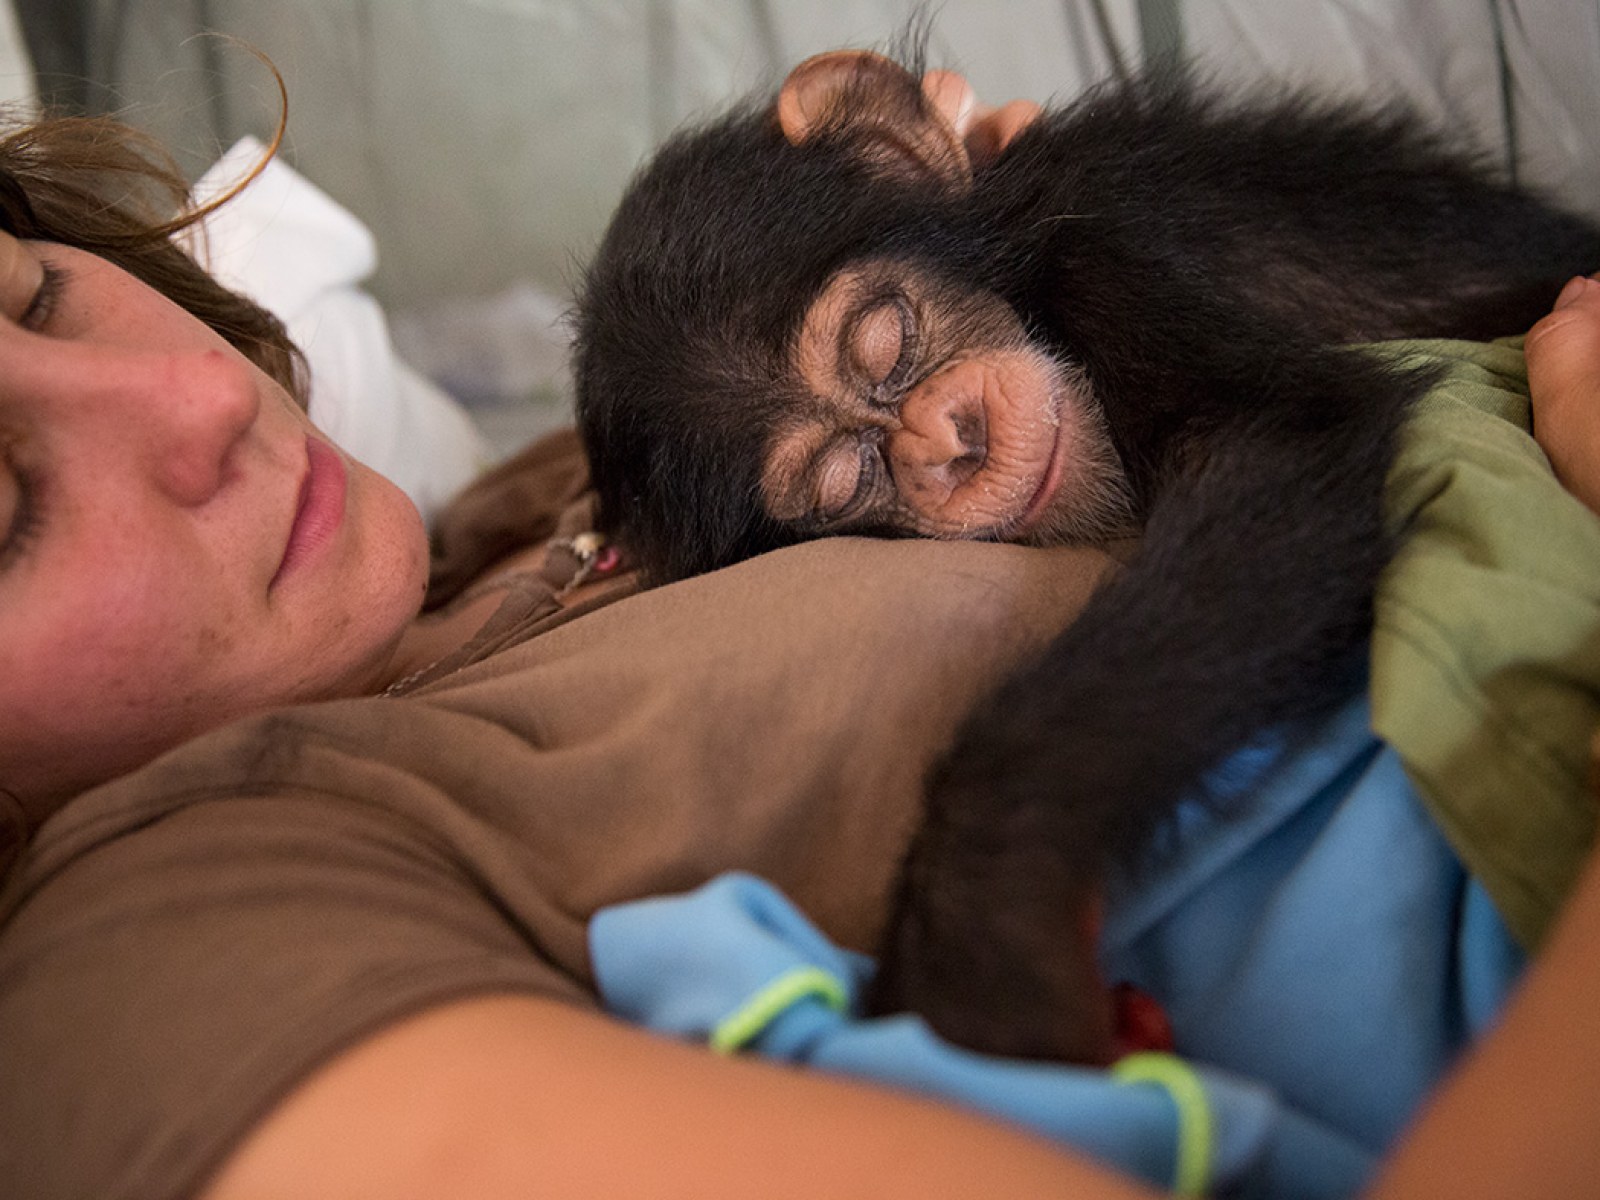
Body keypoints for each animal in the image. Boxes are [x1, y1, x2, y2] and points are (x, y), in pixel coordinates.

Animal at [571, 48, 1600, 1065]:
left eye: (886, 339)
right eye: (847, 477)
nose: (949, 442)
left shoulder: (1115, 245)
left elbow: (1273, 442)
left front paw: (986, 926)